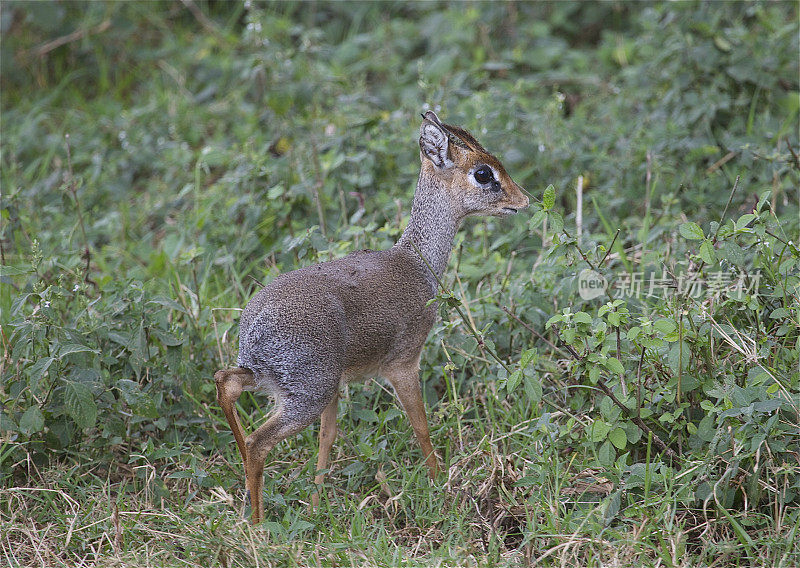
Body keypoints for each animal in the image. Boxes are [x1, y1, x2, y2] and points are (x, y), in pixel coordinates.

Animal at [217, 108, 532, 520]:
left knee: (226, 383)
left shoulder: (339, 387)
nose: (523, 200)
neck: (416, 264)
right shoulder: (403, 363)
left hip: (278, 382)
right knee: (258, 442)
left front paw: (316, 505)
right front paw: (440, 485)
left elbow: (327, 437)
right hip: (308, 393)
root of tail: (253, 331)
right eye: (483, 172)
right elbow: (420, 425)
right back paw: (256, 525)